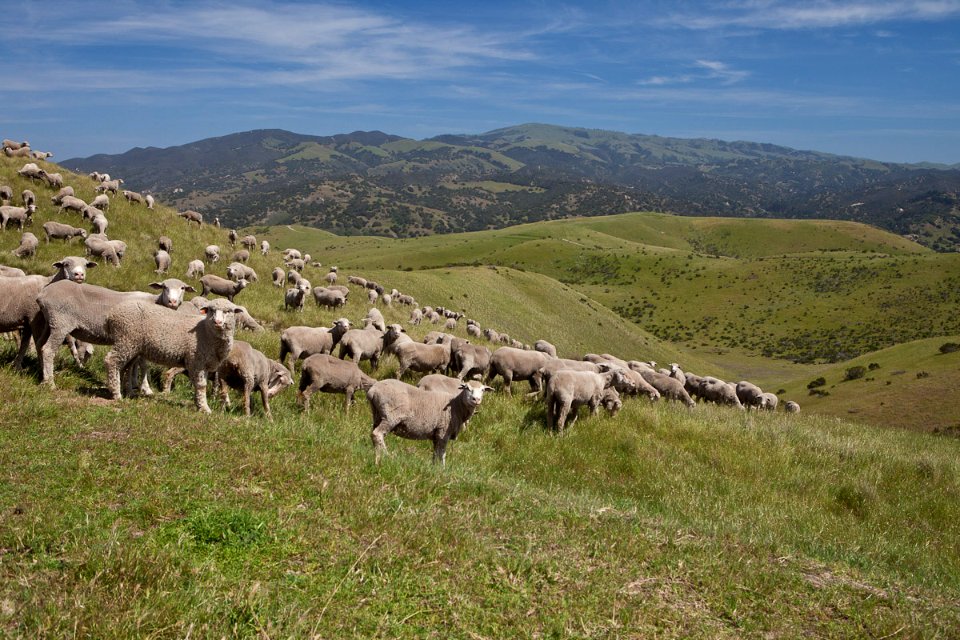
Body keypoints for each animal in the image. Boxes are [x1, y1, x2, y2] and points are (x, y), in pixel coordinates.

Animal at [103, 298, 246, 412]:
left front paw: (198, 404)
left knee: (125, 367)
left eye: (228, 311)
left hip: (132, 346)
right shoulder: (197, 360)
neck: (206, 332)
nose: (217, 322)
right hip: (126, 339)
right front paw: (204, 408)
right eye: (211, 310)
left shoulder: (205, 363)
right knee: (111, 360)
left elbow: (201, 384)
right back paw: (116, 394)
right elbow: (201, 385)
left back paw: (127, 392)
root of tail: (111, 315)